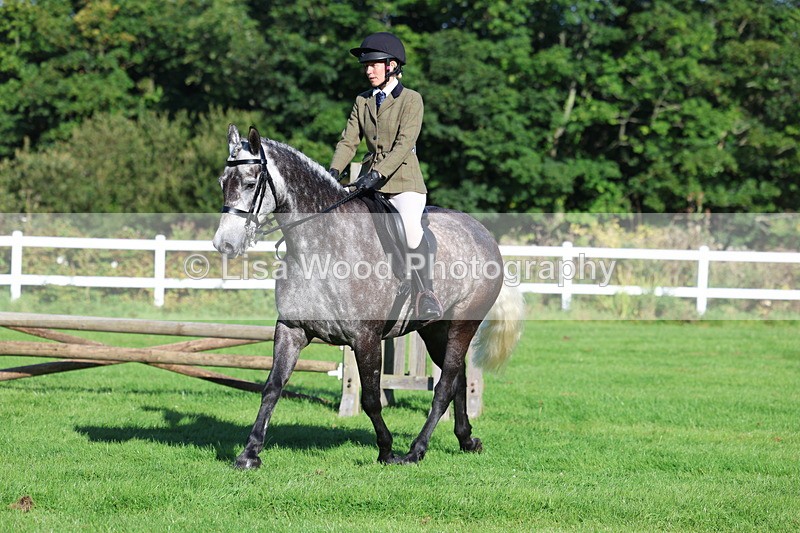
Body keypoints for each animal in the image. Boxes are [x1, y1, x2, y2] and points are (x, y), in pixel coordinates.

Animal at [213, 125, 523, 469]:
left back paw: (415, 450)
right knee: (457, 377)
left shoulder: (366, 338)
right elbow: (272, 387)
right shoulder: (291, 329)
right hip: (433, 329)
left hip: (463, 323)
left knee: (445, 385)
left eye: (250, 183)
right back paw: (466, 439)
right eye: (222, 183)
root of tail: (483, 233)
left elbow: (372, 399)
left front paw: (386, 451)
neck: (323, 246)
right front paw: (249, 453)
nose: (224, 244)